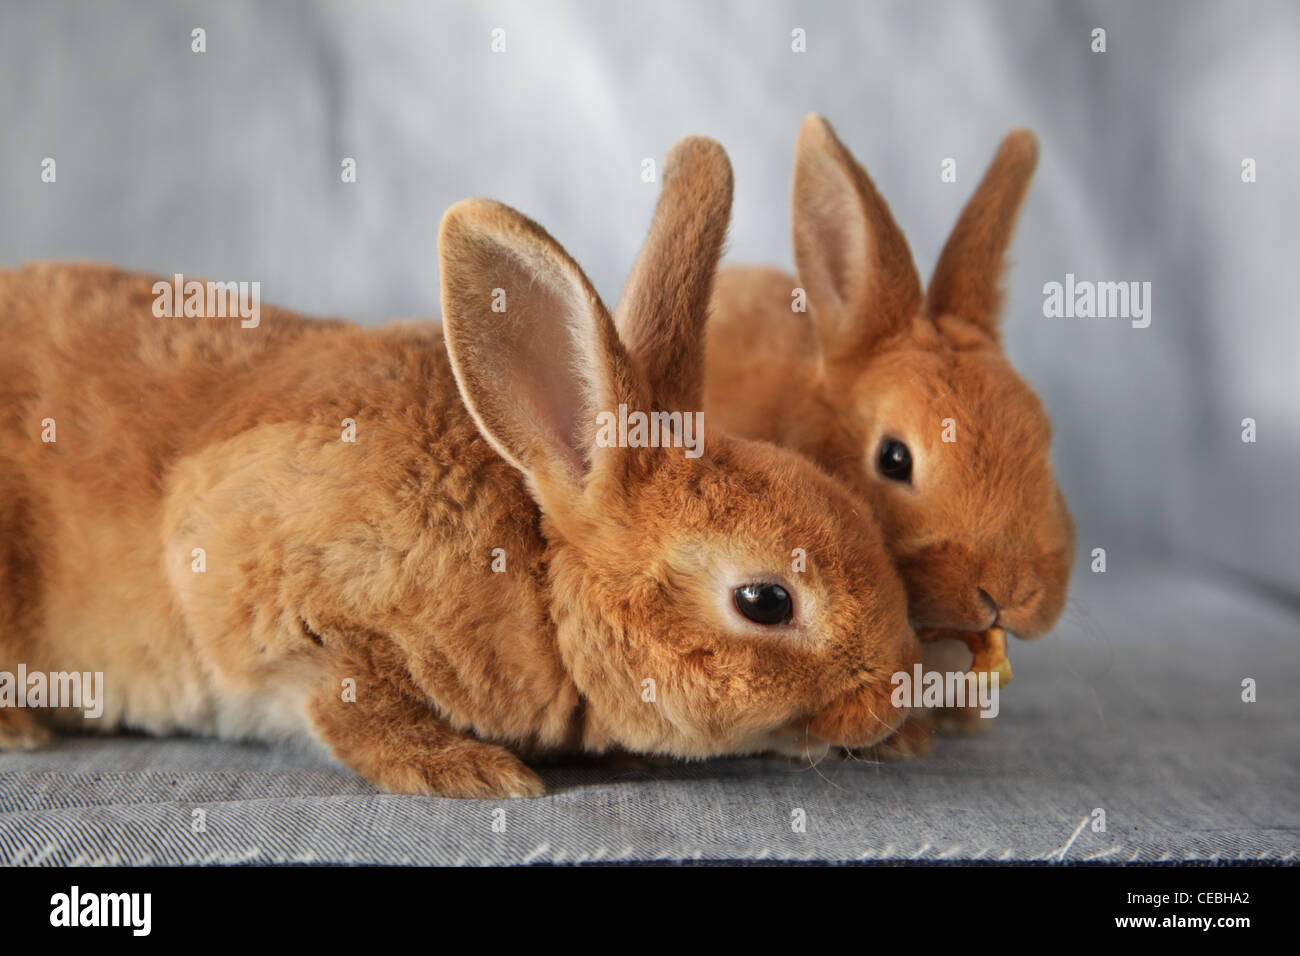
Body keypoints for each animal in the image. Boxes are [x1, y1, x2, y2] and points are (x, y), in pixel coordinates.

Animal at [0, 136, 921, 797]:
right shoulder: (281, 588)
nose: (892, 698)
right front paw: (470, 773)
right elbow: (349, 701)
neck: (538, 574)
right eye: (765, 602)